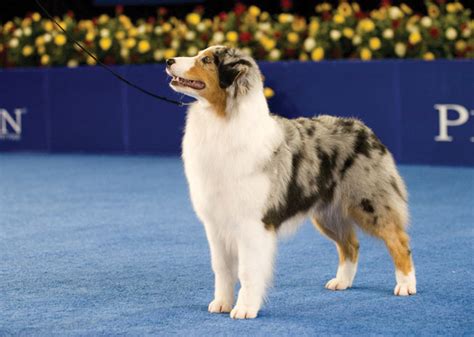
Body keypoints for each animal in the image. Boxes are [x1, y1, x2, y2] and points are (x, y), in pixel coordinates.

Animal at [165, 46, 416, 318]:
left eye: (207, 60)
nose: (168, 60)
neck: (222, 120)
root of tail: (364, 128)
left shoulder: (252, 223)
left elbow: (247, 270)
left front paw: (244, 309)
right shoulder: (216, 222)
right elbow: (221, 267)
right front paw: (221, 303)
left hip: (369, 202)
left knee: (399, 241)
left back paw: (406, 286)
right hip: (328, 213)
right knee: (351, 244)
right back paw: (342, 282)